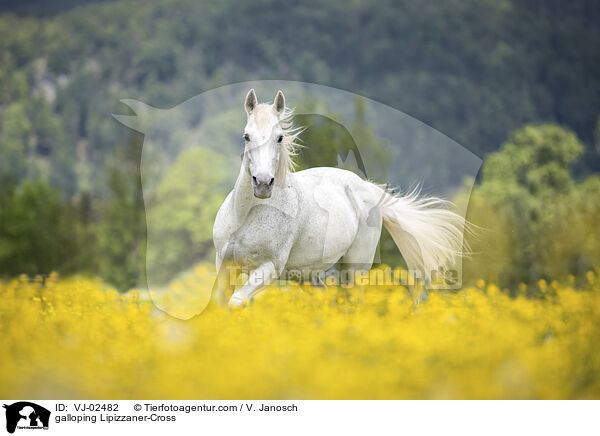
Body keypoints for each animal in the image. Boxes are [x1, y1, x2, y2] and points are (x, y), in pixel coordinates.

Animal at [213, 88, 466, 308]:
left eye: (280, 138)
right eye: (247, 137)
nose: (263, 183)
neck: (247, 215)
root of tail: (366, 187)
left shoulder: (269, 268)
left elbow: (236, 302)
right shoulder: (224, 266)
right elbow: (223, 307)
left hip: (353, 269)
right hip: (306, 274)